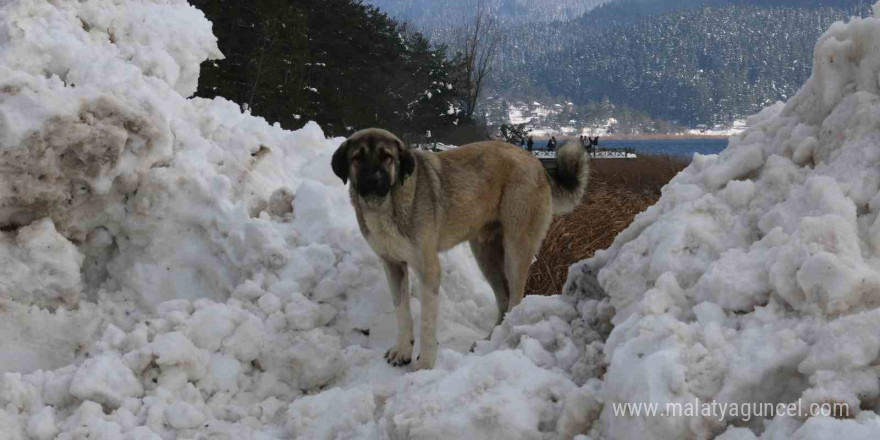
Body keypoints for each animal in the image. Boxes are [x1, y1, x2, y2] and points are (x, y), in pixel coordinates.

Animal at [332, 129, 592, 370]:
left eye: (386, 156)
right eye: (357, 157)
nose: (373, 180)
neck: (386, 204)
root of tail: (537, 163)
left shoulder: (428, 269)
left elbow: (427, 323)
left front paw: (425, 363)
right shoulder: (392, 265)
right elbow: (402, 313)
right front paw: (403, 350)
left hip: (516, 250)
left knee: (515, 299)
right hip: (485, 254)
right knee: (504, 299)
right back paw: (490, 340)